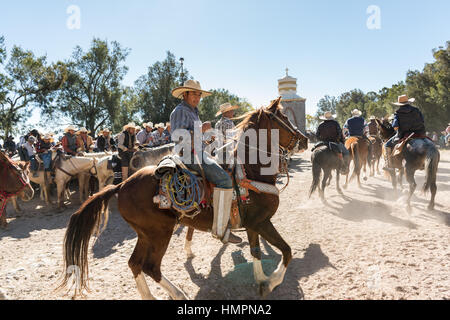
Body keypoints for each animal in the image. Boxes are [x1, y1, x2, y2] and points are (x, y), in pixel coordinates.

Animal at [58, 98, 308, 300]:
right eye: (284, 118)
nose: (305, 140)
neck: (249, 169)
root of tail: (122, 184)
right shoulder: (261, 222)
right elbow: (287, 251)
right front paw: (271, 282)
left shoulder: (252, 223)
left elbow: (256, 252)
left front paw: (261, 279)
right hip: (160, 232)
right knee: (151, 266)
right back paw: (179, 294)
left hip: (145, 233)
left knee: (134, 263)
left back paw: (150, 297)